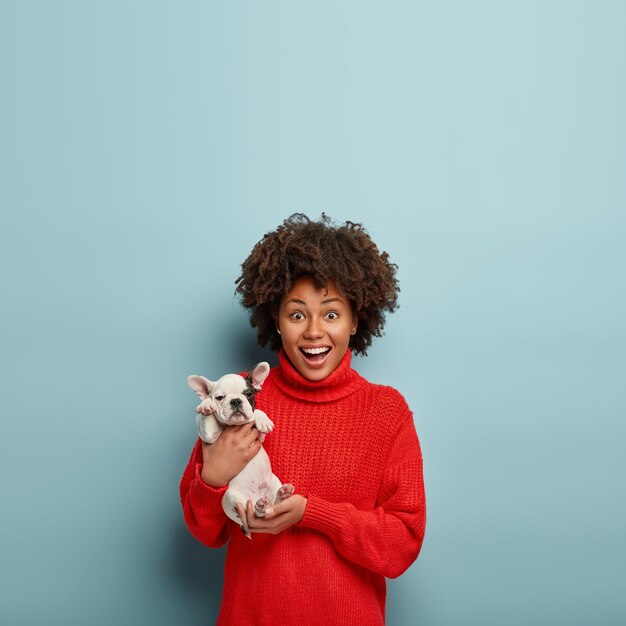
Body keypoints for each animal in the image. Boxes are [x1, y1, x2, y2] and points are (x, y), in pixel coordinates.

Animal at [186, 360, 294, 536]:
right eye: (220, 397)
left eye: (248, 394)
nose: (236, 401)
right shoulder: (208, 434)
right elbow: (205, 417)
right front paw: (206, 404)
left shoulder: (259, 437)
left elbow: (255, 412)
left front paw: (263, 420)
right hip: (230, 497)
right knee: (256, 515)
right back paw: (260, 507)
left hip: (273, 481)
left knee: (273, 508)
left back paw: (281, 494)